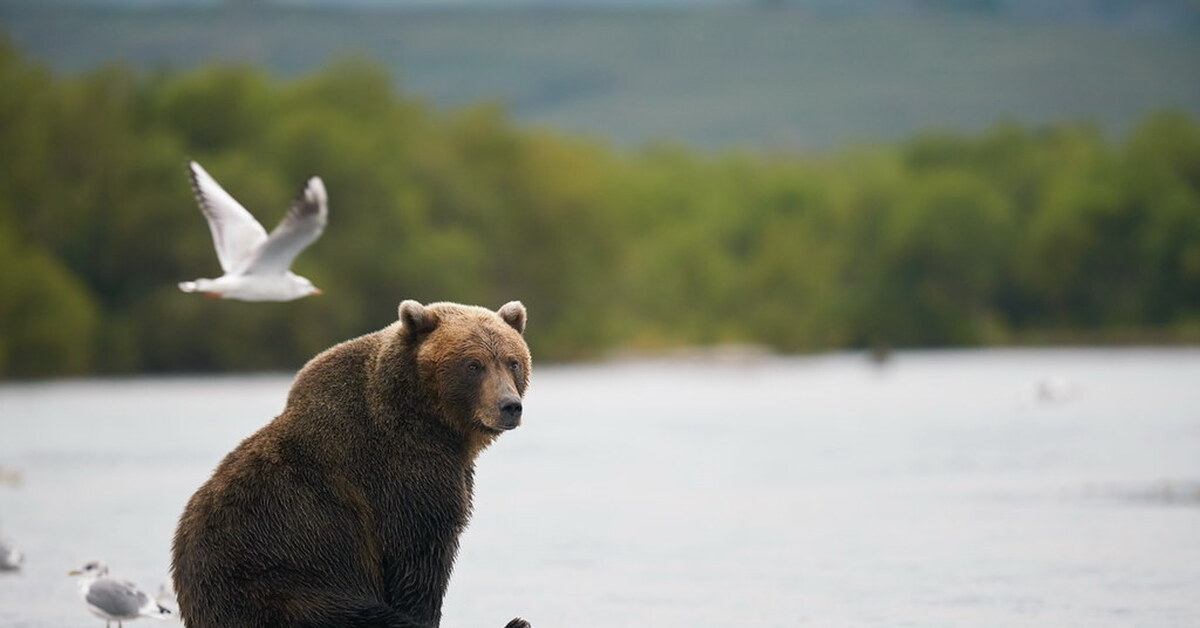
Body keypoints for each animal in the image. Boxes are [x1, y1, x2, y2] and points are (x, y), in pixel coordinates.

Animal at [174, 301, 535, 628]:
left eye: (512, 361)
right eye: (473, 365)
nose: (509, 406)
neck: (433, 421)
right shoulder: (403, 471)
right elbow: (417, 555)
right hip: (276, 582)